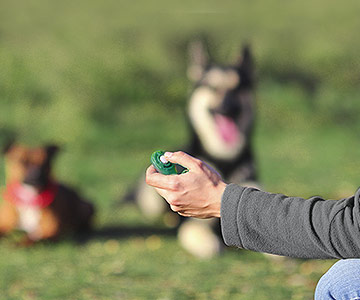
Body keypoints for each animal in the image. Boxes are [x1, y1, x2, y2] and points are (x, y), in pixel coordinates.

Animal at [134, 41, 258, 258]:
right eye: (212, 87)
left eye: (238, 87)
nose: (228, 109)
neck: (224, 159)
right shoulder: (192, 225)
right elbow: (209, 245)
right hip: (150, 201)